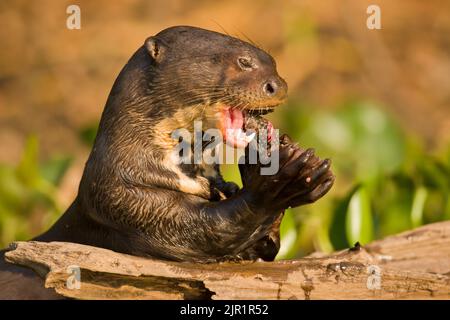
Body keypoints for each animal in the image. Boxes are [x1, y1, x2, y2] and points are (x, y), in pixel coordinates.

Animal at [0, 26, 330, 298]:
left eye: (272, 63)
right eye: (243, 62)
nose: (278, 85)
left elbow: (261, 248)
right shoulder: (126, 202)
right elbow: (205, 234)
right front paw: (278, 179)